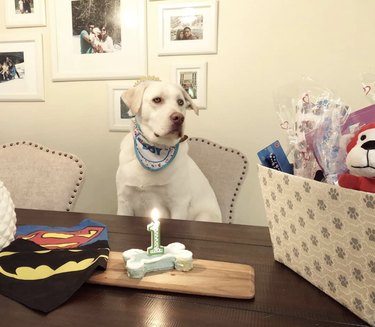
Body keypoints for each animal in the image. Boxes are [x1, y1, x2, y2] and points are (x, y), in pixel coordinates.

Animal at [117, 81, 223, 223]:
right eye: (157, 99)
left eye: (180, 102)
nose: (179, 117)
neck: (154, 149)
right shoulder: (124, 203)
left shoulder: (179, 204)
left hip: (205, 216)